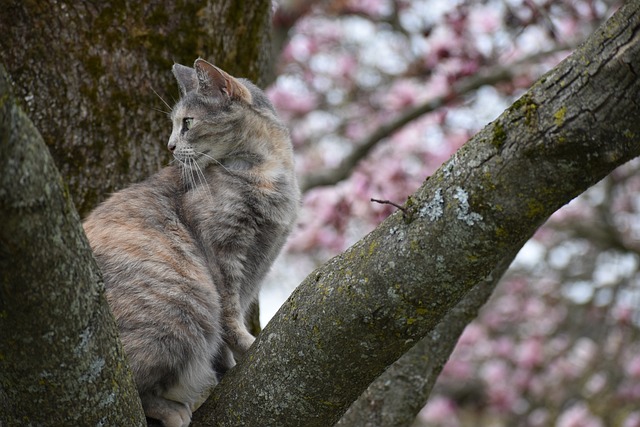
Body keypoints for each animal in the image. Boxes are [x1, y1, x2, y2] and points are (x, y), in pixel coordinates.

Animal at [84, 57, 302, 427]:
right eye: (175, 124)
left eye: (187, 122)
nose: (170, 146)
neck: (268, 170)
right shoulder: (223, 252)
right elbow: (230, 314)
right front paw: (247, 345)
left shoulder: (258, 263)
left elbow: (233, 318)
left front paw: (228, 364)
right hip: (183, 307)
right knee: (133, 385)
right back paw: (175, 410)